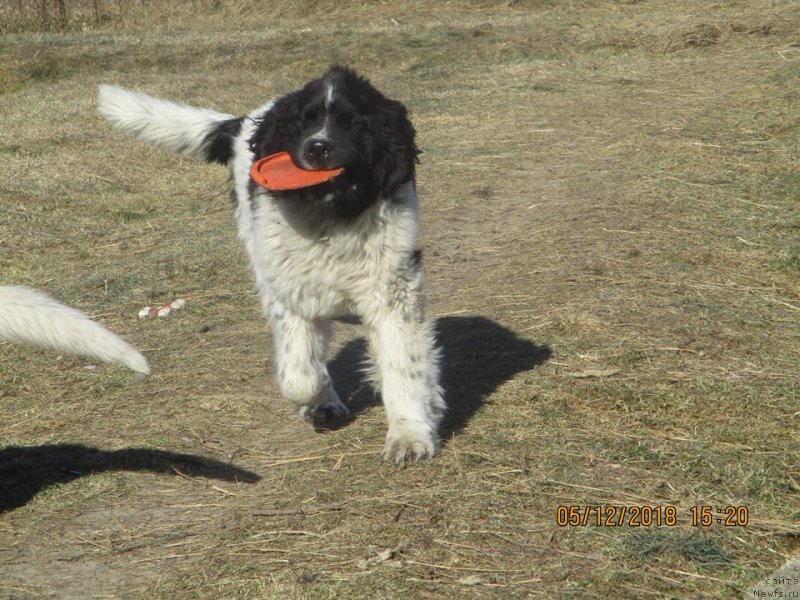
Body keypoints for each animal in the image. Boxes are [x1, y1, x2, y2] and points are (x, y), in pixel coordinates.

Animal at [97, 67, 446, 464]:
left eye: (352, 123)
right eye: (305, 121)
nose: (317, 147)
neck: (332, 216)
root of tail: (249, 119)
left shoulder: (392, 289)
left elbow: (403, 363)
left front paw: (409, 434)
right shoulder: (293, 291)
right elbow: (300, 375)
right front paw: (319, 394)